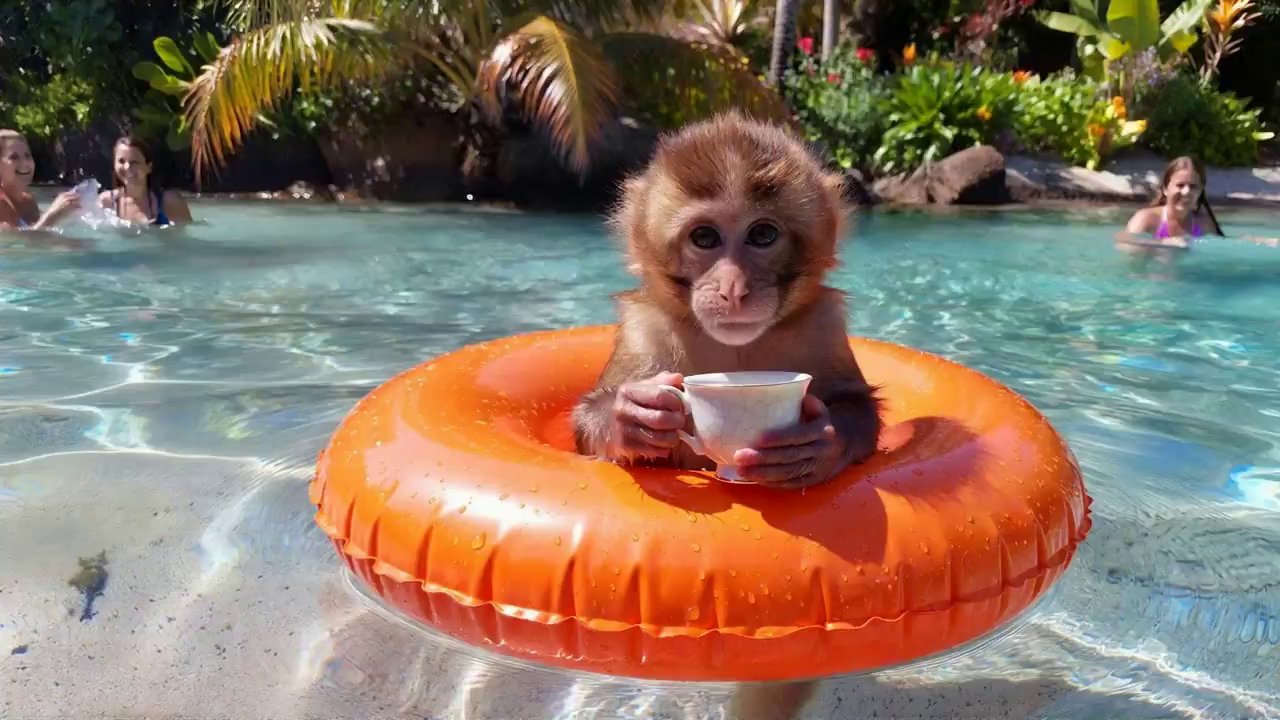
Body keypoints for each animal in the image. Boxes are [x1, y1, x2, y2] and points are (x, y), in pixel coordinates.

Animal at [572, 112, 881, 488]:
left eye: (762, 234)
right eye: (704, 237)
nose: (733, 287)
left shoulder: (824, 323)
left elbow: (856, 402)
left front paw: (818, 442)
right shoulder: (643, 329)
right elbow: (587, 428)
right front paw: (631, 417)